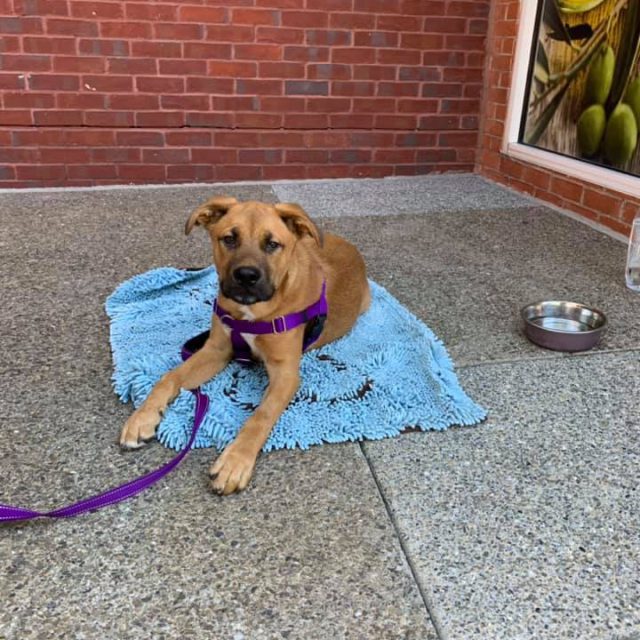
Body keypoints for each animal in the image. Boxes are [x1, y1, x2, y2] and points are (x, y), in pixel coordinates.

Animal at [120, 198, 370, 498]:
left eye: (272, 244)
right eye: (229, 239)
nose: (246, 276)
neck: (252, 312)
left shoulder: (286, 374)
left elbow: (261, 415)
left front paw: (235, 462)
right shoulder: (215, 350)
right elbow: (169, 377)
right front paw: (142, 418)